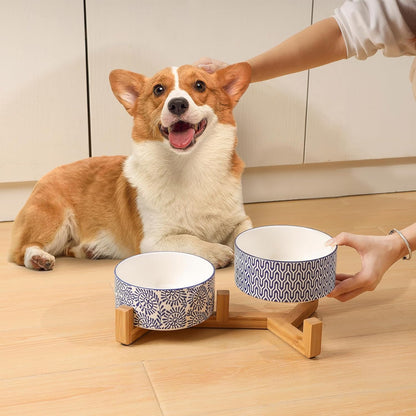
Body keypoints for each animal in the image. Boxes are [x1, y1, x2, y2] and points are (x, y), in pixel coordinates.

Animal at [8, 61, 254, 270]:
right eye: (158, 90)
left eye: (200, 85)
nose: (177, 104)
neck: (189, 165)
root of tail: (45, 175)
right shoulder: (154, 241)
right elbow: (188, 239)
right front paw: (216, 251)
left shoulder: (239, 219)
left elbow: (245, 231)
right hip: (54, 221)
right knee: (21, 251)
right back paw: (38, 258)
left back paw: (89, 250)